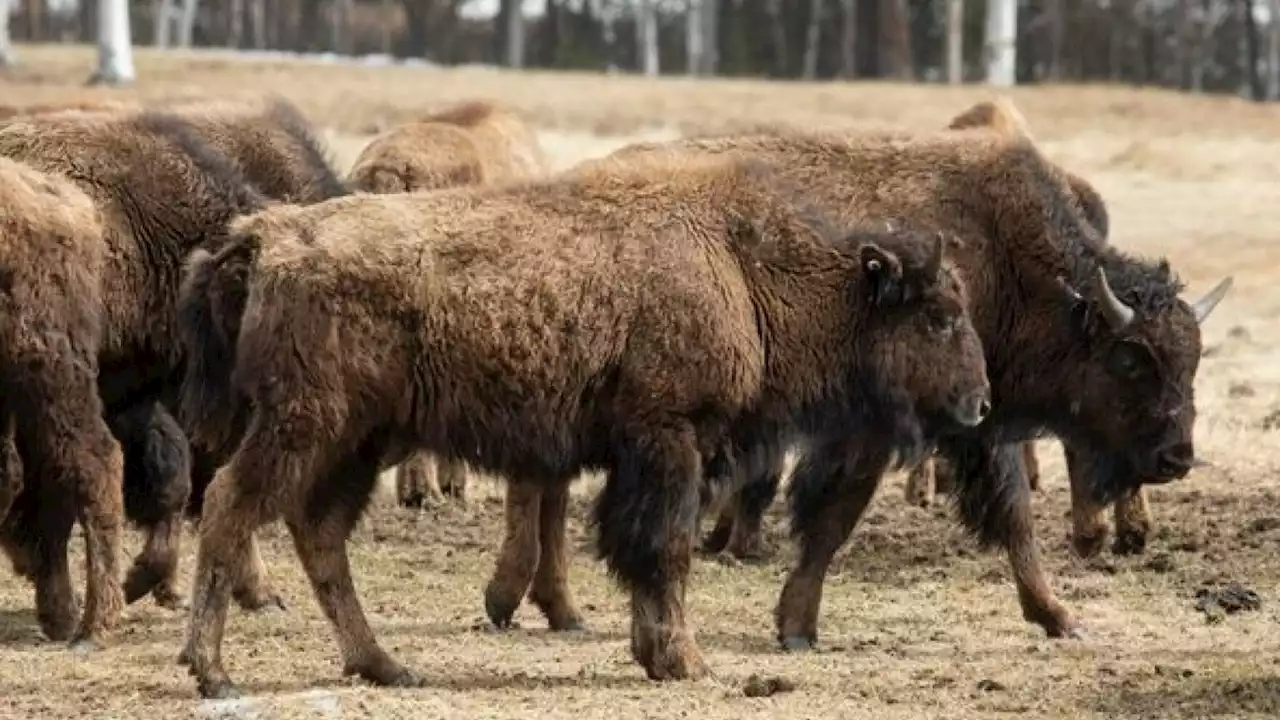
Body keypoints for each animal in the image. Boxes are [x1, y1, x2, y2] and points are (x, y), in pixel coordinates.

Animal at [170, 151, 988, 696]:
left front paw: (654, 654)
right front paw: (686, 661)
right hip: (306, 425)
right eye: (939, 317)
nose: (979, 403)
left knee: (320, 533)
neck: (743, 263)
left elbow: (639, 551)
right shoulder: (670, 439)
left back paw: (385, 665)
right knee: (233, 505)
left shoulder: (652, 455)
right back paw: (214, 672)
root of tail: (267, 237)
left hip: (361, 441)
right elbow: (664, 550)